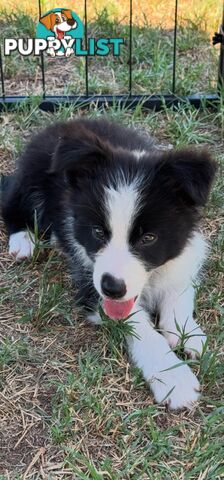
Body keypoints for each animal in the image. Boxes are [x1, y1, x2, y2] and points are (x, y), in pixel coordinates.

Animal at [0, 116, 216, 408]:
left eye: (148, 238)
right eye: (98, 232)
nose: (112, 288)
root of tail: (62, 124)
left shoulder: (186, 249)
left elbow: (179, 289)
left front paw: (186, 331)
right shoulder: (89, 280)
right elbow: (139, 326)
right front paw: (172, 377)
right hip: (31, 174)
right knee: (11, 200)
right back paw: (23, 239)